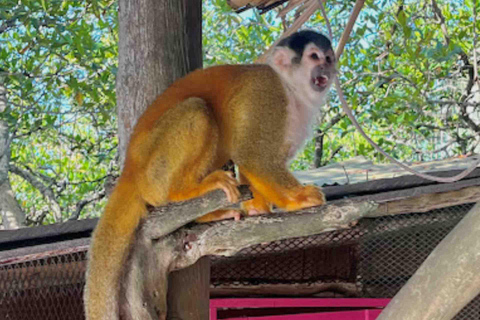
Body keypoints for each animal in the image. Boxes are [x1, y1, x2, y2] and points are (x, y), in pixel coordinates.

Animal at [84, 30, 336, 320]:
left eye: (329, 58)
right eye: (314, 57)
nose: (326, 68)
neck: (290, 89)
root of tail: (130, 170)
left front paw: (257, 207)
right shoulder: (267, 91)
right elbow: (252, 153)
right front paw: (300, 198)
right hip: (154, 171)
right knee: (197, 111)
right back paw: (184, 191)